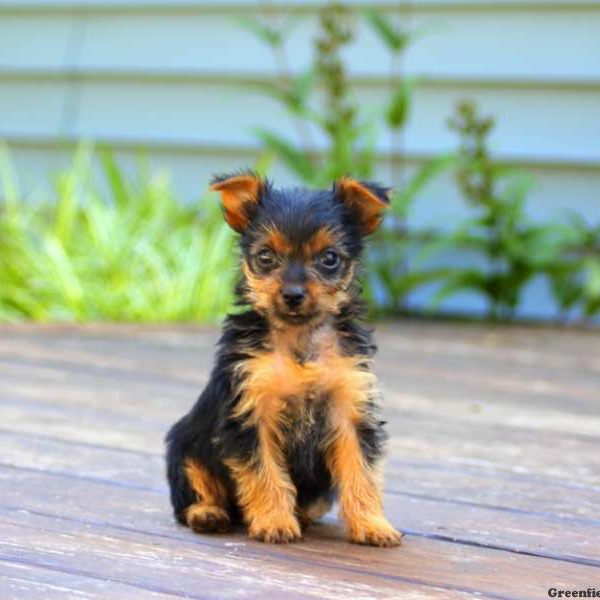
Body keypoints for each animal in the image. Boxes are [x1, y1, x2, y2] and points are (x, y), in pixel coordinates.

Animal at [165, 170, 404, 548]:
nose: (292, 294)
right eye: (265, 257)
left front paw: (372, 524)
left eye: (329, 259)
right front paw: (275, 522)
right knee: (194, 491)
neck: (299, 336)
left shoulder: (350, 410)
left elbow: (361, 471)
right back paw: (209, 514)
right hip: (185, 447)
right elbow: (264, 472)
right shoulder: (250, 412)